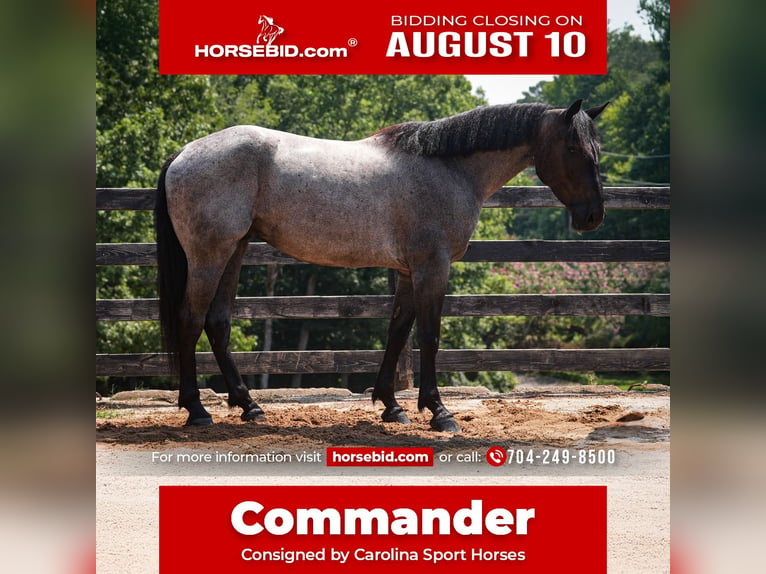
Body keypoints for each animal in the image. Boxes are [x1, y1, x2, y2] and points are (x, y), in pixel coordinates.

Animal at [154, 99, 608, 432]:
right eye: (573, 148)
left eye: (597, 150)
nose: (593, 216)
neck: (448, 167)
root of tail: (184, 153)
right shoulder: (432, 267)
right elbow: (428, 335)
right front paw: (438, 411)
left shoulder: (408, 271)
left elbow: (397, 331)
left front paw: (392, 406)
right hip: (210, 256)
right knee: (190, 319)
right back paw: (197, 411)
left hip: (234, 251)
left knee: (217, 322)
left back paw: (249, 405)